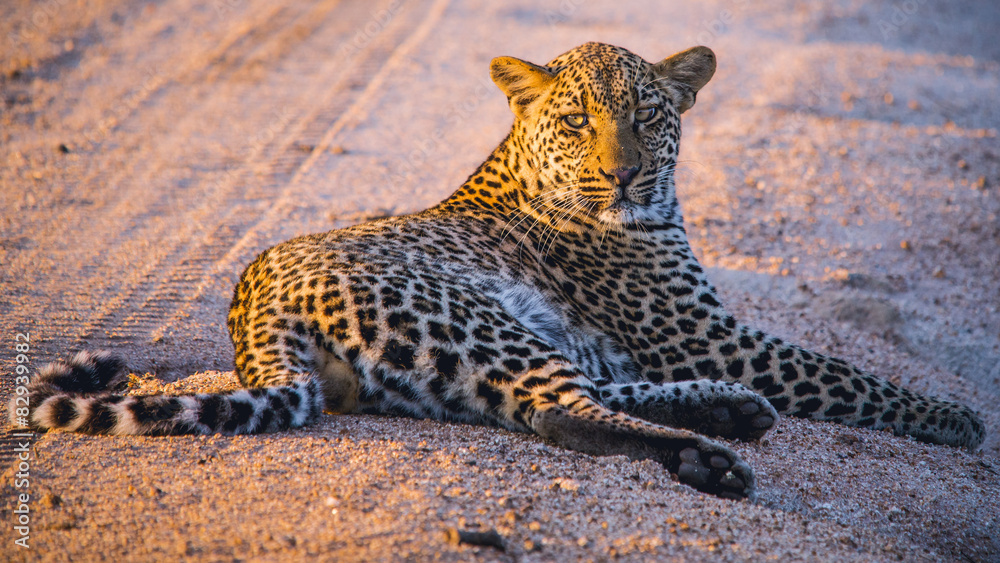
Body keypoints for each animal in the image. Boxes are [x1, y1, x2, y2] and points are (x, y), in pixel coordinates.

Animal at [14, 42, 984, 500]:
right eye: (577, 118)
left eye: (647, 116)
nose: (623, 175)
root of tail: (248, 314)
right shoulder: (705, 334)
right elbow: (846, 372)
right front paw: (955, 416)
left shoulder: (699, 339)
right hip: (466, 311)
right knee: (562, 413)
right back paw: (713, 457)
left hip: (475, 341)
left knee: (570, 396)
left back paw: (730, 414)